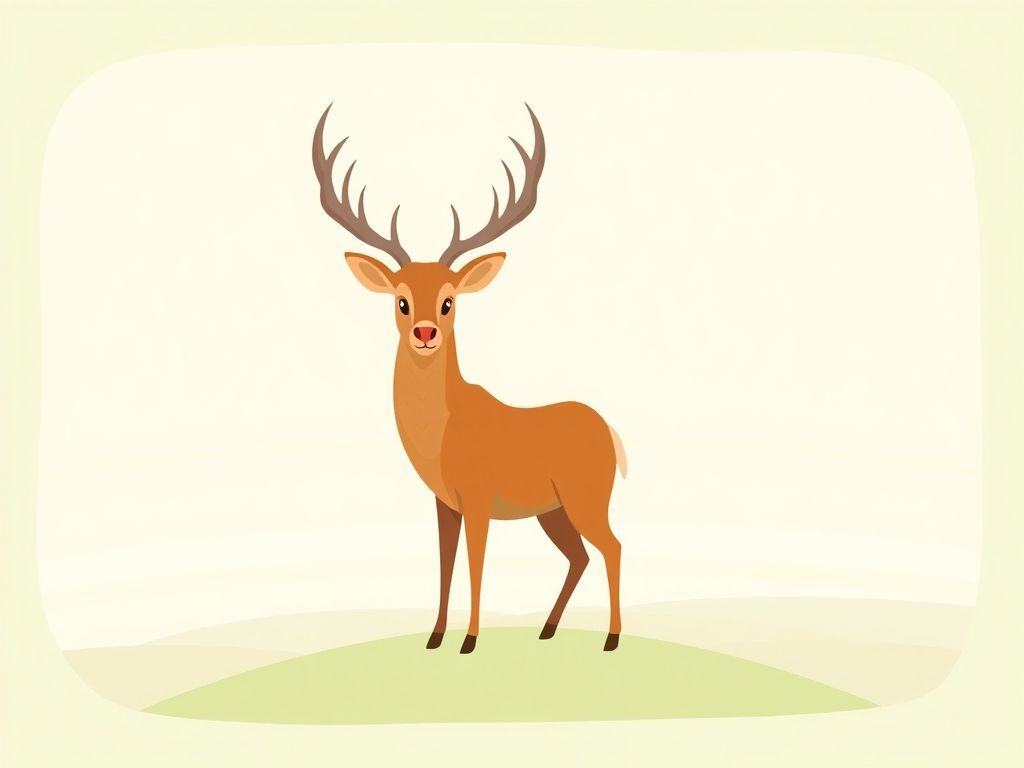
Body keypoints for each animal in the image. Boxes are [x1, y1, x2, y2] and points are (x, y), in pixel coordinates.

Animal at [312, 103, 626, 654]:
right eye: (401, 299)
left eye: (448, 299)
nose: (425, 332)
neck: (444, 433)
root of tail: (610, 432)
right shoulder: (444, 503)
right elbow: (445, 564)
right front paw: (436, 636)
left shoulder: (479, 498)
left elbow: (476, 564)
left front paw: (470, 640)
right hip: (553, 510)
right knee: (581, 555)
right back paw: (547, 629)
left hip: (586, 497)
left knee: (613, 546)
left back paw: (610, 638)